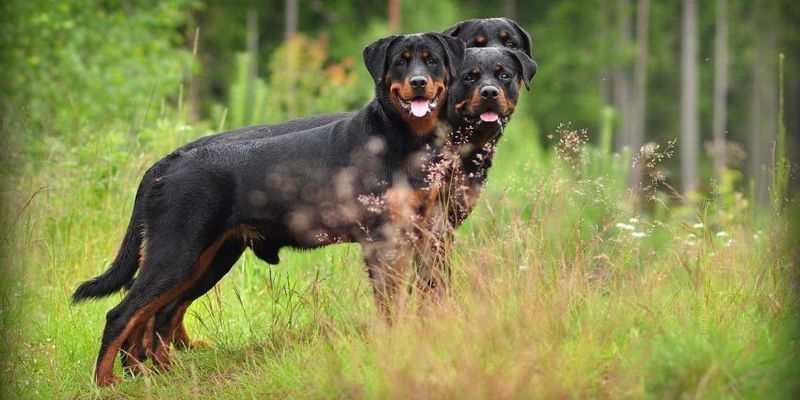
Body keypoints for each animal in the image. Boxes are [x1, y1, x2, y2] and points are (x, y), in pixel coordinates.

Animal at [75, 32, 466, 386]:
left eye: (432, 60)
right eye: (401, 61)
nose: (418, 83)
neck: (402, 139)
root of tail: (165, 165)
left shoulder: (426, 235)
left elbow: (430, 293)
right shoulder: (381, 241)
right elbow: (391, 304)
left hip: (206, 259)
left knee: (158, 313)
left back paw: (159, 373)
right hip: (176, 255)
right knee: (122, 313)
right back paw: (107, 381)